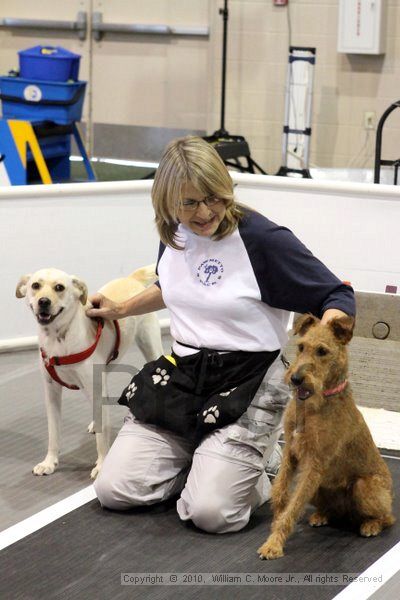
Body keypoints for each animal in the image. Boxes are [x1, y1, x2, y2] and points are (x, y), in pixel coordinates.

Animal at [15, 268, 162, 478]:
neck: (58, 338)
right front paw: (49, 462)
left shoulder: (95, 389)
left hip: (150, 348)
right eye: (35, 285)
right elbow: (53, 433)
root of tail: (131, 278)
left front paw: (101, 465)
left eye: (59, 287)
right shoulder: (52, 393)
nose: (43, 301)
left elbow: (102, 438)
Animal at [260, 316, 394, 560]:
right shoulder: (291, 452)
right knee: (332, 510)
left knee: (387, 517)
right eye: (301, 347)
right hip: (319, 489)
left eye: (322, 351)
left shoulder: (314, 464)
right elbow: (281, 493)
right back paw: (321, 516)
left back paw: (371, 525)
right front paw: (275, 525)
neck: (314, 404)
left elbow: (293, 505)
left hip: (364, 486)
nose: (296, 378)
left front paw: (273, 544)